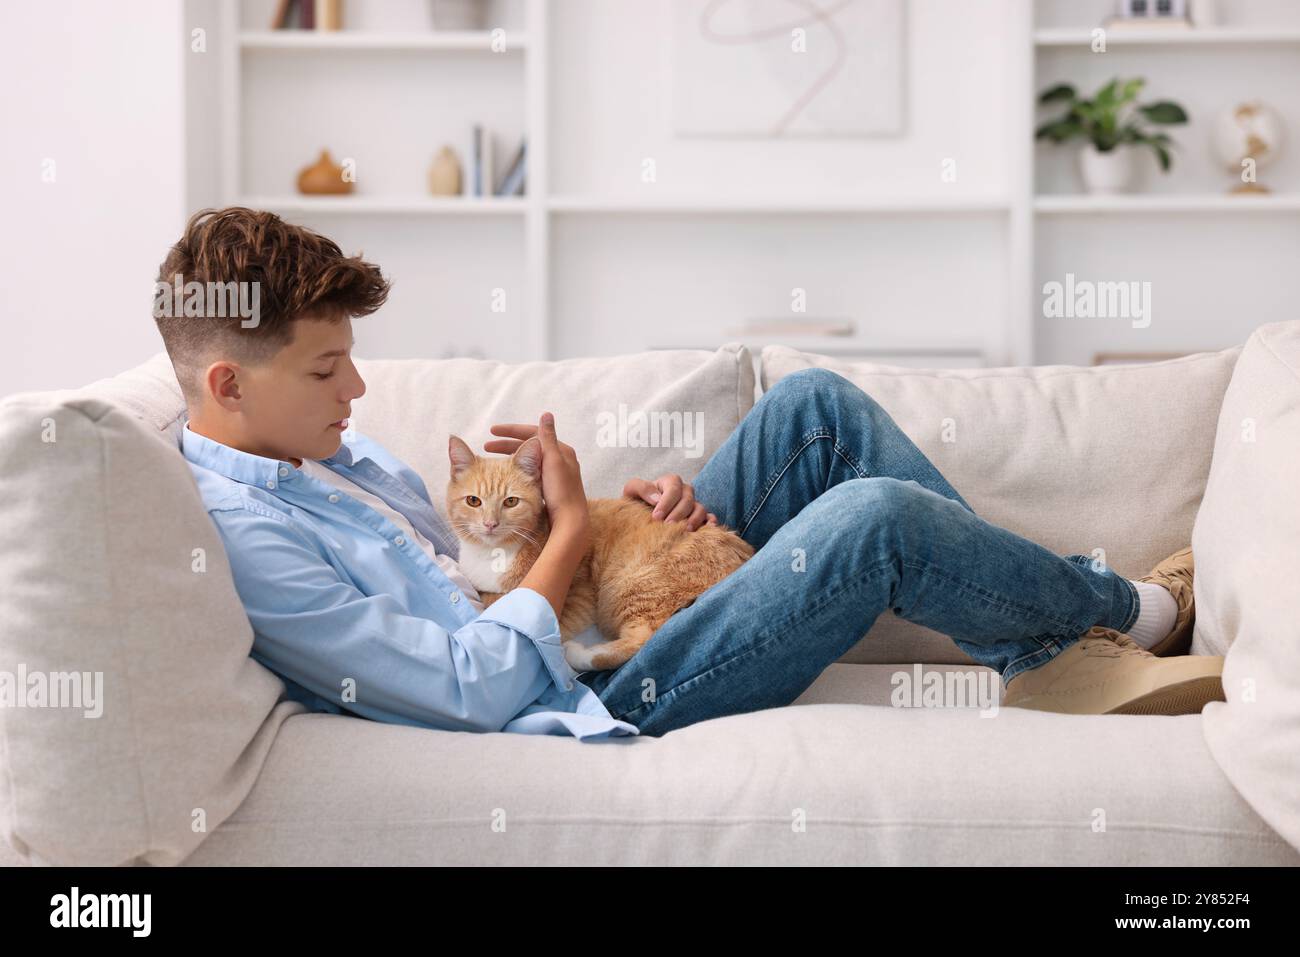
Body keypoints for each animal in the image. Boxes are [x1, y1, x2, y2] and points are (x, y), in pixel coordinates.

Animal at [447, 434, 759, 670]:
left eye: (511, 501)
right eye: (473, 501)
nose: (490, 524)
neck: (493, 554)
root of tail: (742, 552)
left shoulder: (577, 595)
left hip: (630, 585)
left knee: (645, 638)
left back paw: (580, 654)